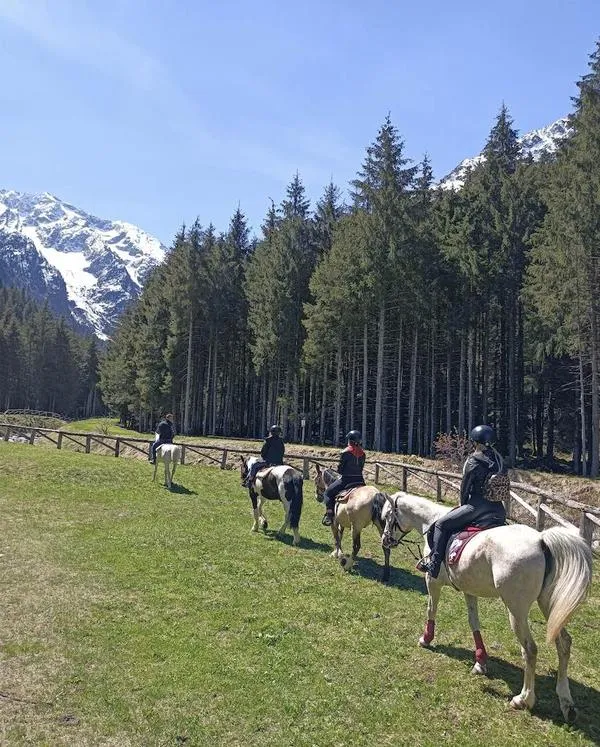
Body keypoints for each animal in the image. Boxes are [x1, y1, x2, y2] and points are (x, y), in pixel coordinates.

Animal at [380, 491, 593, 722]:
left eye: (388, 516)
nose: (385, 540)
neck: (432, 520)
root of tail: (540, 540)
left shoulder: (432, 580)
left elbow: (431, 609)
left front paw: (426, 638)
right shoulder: (469, 590)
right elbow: (474, 622)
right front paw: (480, 661)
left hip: (516, 611)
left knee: (530, 650)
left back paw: (523, 699)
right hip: (548, 604)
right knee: (564, 643)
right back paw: (566, 702)